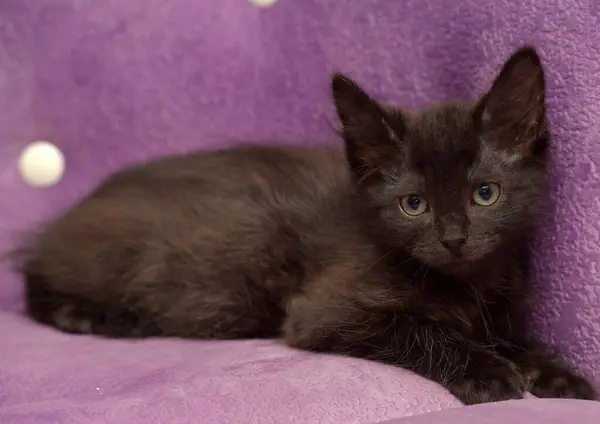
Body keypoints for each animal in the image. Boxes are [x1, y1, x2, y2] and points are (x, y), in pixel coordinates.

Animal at [14, 46, 596, 404]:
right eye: (413, 205)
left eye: (485, 193)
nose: (453, 239)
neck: (466, 283)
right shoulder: (323, 309)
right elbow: (423, 328)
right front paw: (489, 372)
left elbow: (509, 338)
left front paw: (556, 374)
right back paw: (99, 317)